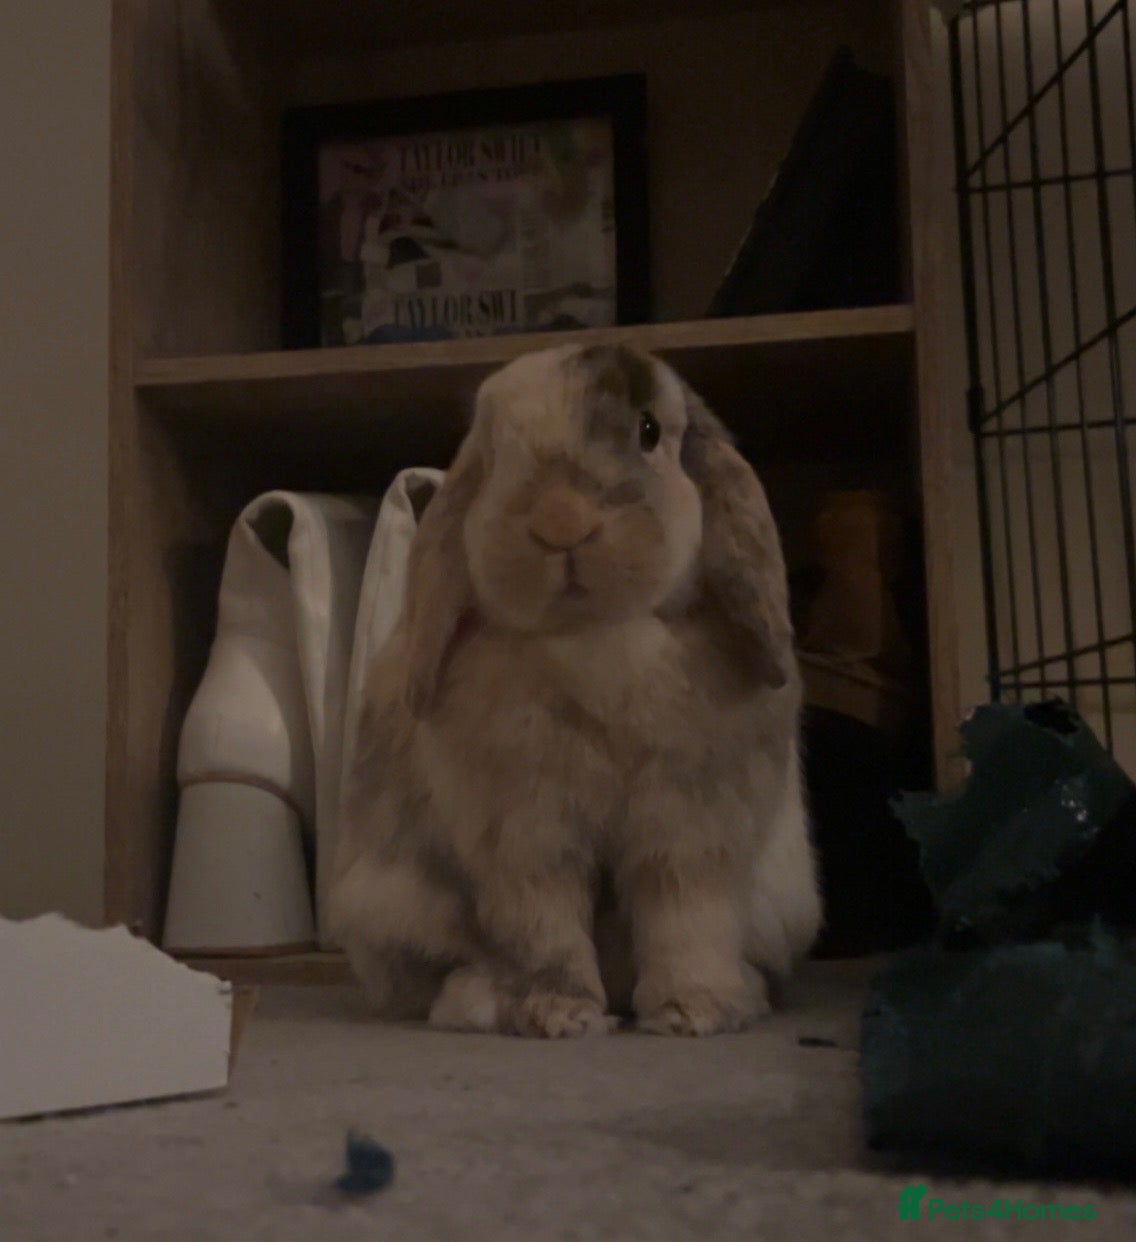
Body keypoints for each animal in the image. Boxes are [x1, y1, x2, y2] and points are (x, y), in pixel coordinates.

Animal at [329, 342, 822, 1037]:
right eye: (497, 453)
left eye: (650, 431)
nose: (560, 521)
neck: (594, 635)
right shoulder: (527, 838)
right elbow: (545, 928)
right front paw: (561, 1015)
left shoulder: (689, 833)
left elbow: (687, 920)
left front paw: (691, 1012)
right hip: (397, 902)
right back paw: (484, 1000)